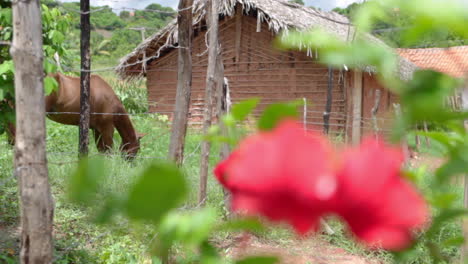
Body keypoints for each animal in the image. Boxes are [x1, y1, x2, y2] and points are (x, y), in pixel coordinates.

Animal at [6, 72, 143, 159]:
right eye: (137, 148)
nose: (130, 163)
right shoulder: (107, 127)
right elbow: (108, 149)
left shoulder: (96, 129)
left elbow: (101, 149)